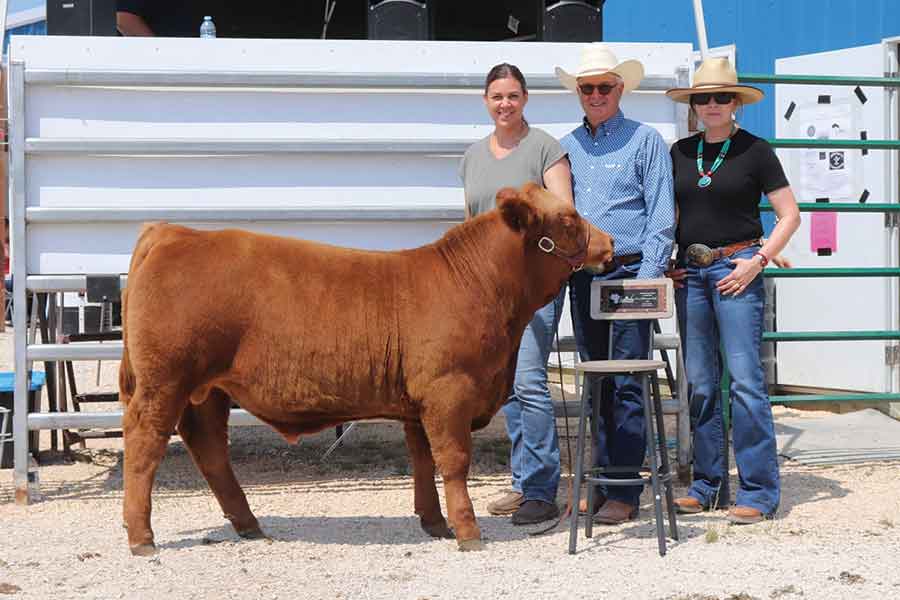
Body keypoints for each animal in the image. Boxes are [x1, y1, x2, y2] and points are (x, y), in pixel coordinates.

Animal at [118, 182, 614, 556]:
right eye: (568, 220)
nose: (609, 245)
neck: (479, 285)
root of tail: (174, 233)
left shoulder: (418, 403)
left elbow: (422, 461)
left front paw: (435, 524)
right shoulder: (448, 392)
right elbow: (453, 461)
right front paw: (468, 531)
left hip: (208, 391)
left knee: (210, 450)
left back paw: (249, 525)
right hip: (164, 382)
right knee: (145, 444)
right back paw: (142, 538)